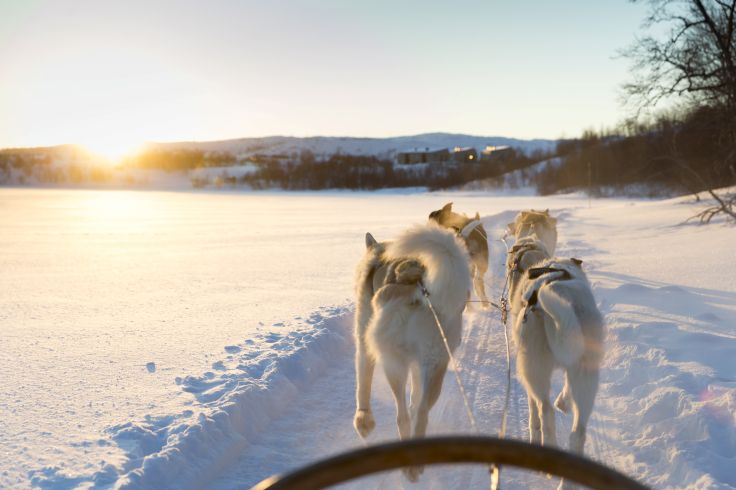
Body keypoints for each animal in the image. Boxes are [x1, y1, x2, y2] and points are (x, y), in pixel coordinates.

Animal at [352, 224, 468, 480]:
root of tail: (417, 287)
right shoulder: (421, 364)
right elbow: (417, 396)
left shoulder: (364, 343)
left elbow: (363, 384)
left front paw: (364, 421)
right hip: (436, 365)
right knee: (421, 411)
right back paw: (416, 461)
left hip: (394, 365)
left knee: (402, 415)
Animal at [508, 256, 608, 464]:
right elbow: (567, 389)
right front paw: (563, 402)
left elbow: (533, 409)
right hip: (586, 373)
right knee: (578, 432)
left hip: (533, 368)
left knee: (545, 411)